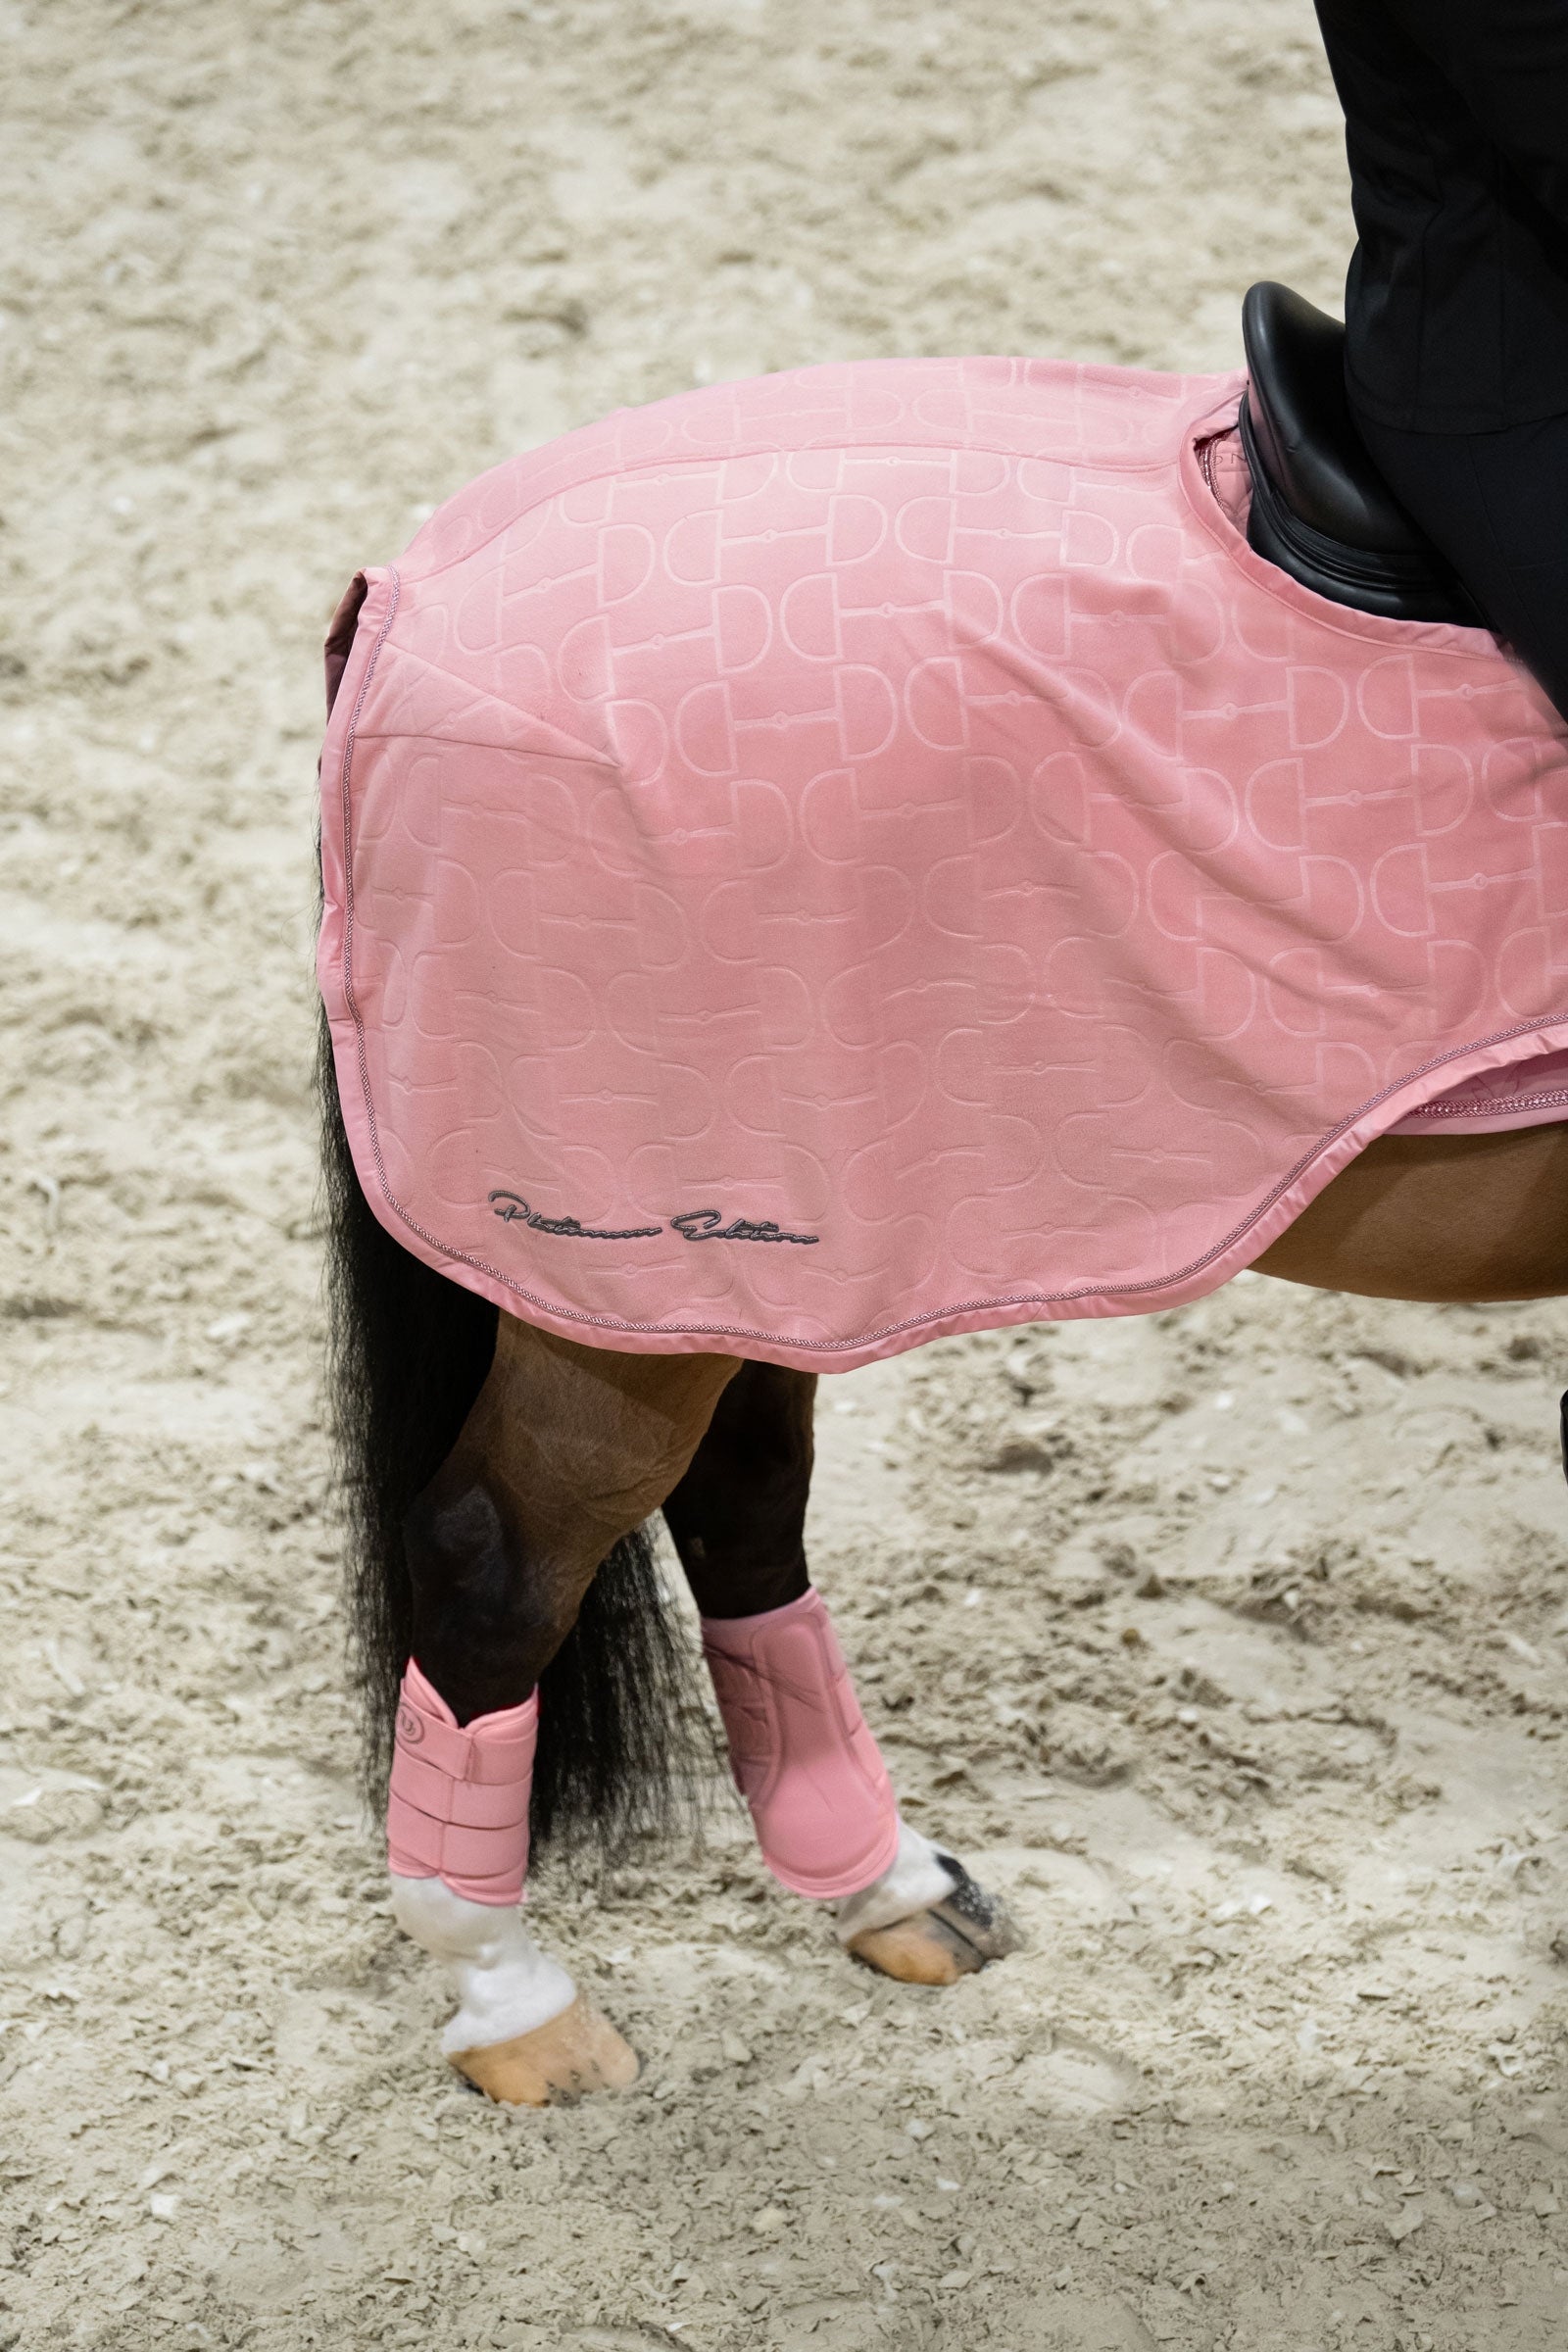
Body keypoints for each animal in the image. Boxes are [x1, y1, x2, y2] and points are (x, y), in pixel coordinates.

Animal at [317, 285, 1568, 2105]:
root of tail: (404, 592)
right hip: (620, 1267)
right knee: (498, 1556)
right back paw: (522, 2010)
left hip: (743, 1263)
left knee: (742, 1503)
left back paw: (884, 1884)